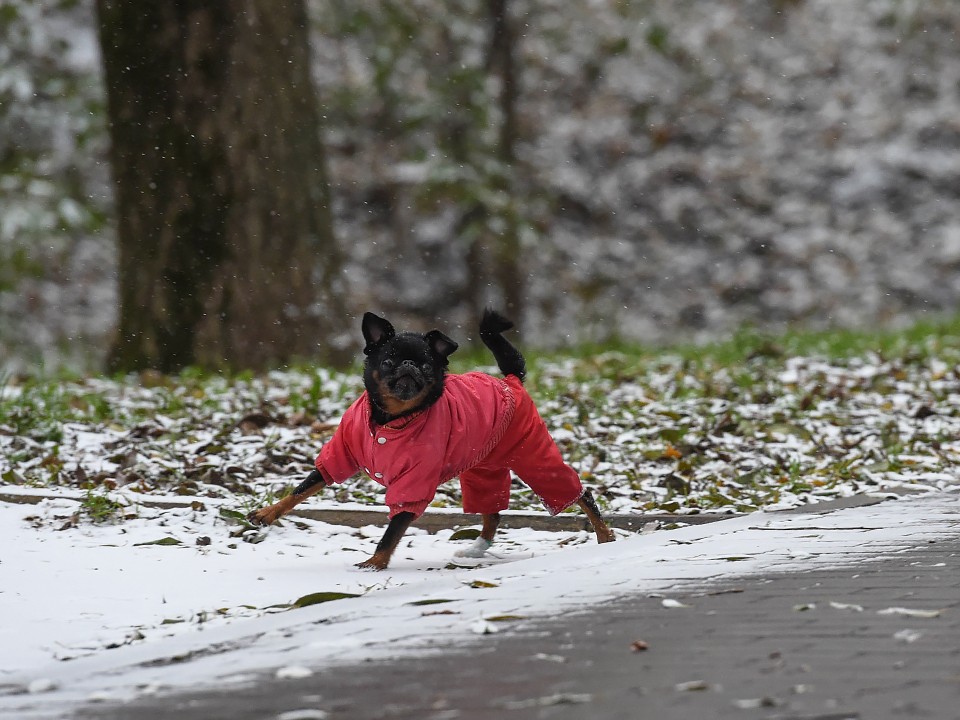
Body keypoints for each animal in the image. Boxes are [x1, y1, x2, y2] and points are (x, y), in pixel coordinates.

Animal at [248, 310, 616, 568]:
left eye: (426, 366)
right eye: (388, 361)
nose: (410, 365)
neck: (390, 421)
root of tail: (511, 381)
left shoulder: (413, 485)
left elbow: (393, 529)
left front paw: (375, 563)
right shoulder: (341, 454)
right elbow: (302, 489)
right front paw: (268, 513)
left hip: (533, 456)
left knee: (580, 493)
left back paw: (605, 535)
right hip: (481, 468)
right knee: (492, 511)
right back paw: (476, 549)